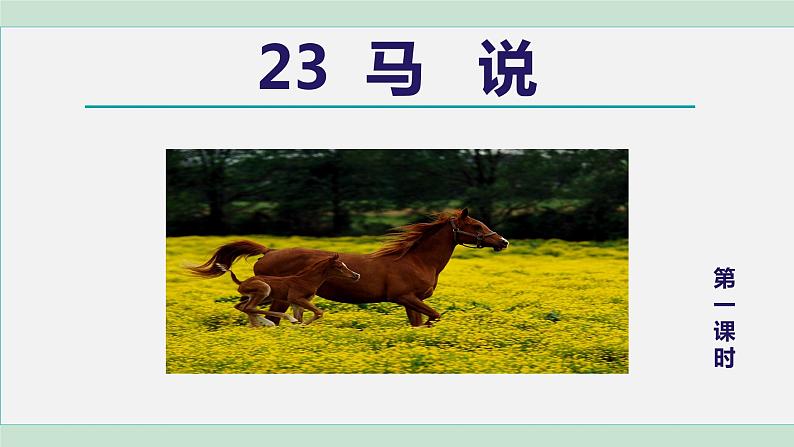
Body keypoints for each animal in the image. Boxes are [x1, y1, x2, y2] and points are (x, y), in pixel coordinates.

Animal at [216, 254, 360, 327]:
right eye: (339, 266)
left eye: (344, 265)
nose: (356, 275)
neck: (307, 280)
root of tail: (241, 282)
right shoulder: (295, 298)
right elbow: (319, 312)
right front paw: (299, 325)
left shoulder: (297, 303)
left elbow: (301, 316)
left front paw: (298, 326)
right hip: (265, 289)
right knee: (249, 307)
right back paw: (274, 322)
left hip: (264, 297)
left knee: (242, 306)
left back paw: (258, 324)